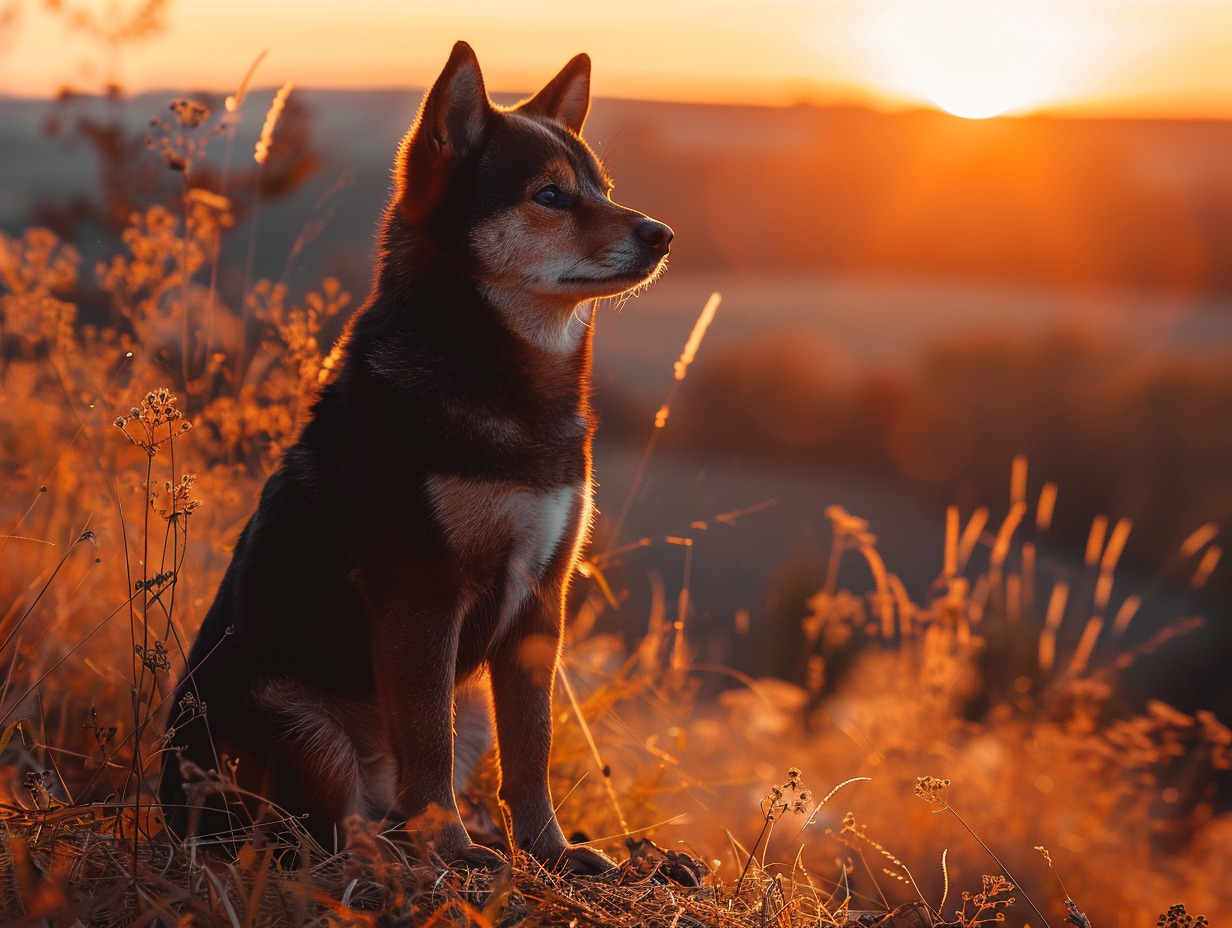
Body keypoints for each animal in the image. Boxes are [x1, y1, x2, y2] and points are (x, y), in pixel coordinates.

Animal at [160, 39, 675, 872]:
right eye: (550, 195)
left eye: (602, 188)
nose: (662, 234)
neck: (510, 383)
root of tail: (166, 811)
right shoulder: (421, 591)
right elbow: (428, 746)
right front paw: (456, 852)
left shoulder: (541, 600)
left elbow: (531, 750)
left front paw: (551, 850)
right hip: (297, 720)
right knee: (338, 828)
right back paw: (401, 849)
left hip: (458, 705)